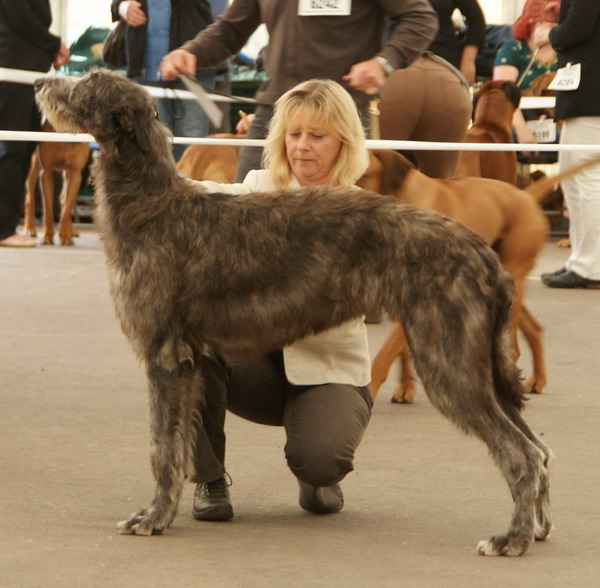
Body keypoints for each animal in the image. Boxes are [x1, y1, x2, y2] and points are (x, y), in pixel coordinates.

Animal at [34, 69, 552, 556]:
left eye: (88, 82)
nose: (39, 81)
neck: (151, 201)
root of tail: (483, 254)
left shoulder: (164, 357)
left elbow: (161, 448)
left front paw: (153, 518)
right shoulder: (188, 360)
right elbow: (176, 444)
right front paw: (162, 511)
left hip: (449, 361)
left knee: (521, 453)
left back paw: (512, 538)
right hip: (479, 362)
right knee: (540, 448)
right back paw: (538, 527)